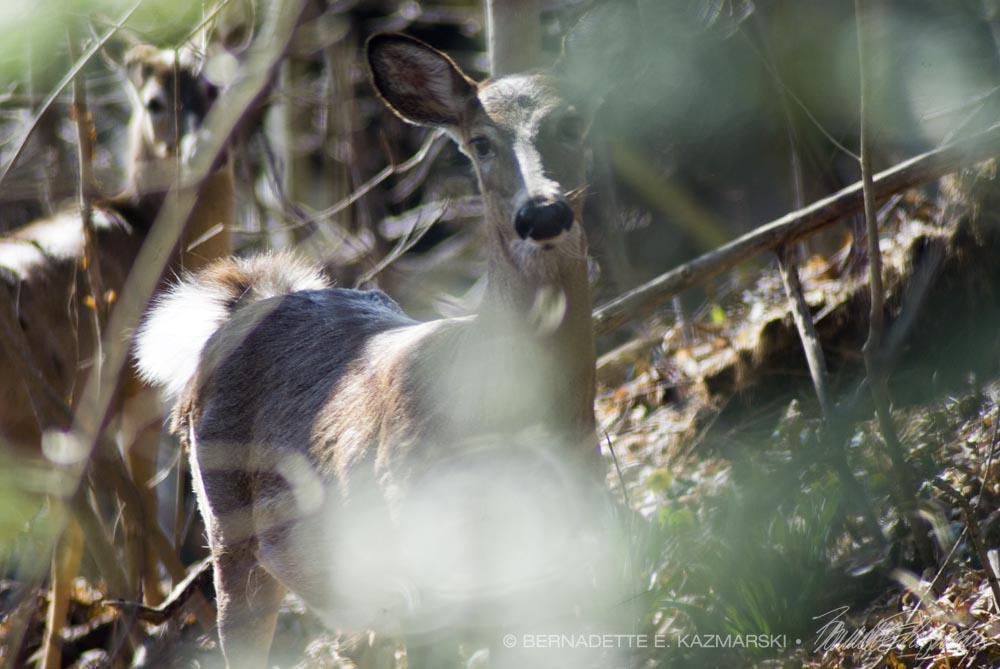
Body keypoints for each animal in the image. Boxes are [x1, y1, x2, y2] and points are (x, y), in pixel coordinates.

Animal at [0, 44, 234, 669]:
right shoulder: (135, 398)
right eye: (153, 102)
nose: (206, 147)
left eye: (214, 88)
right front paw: (161, 615)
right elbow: (137, 515)